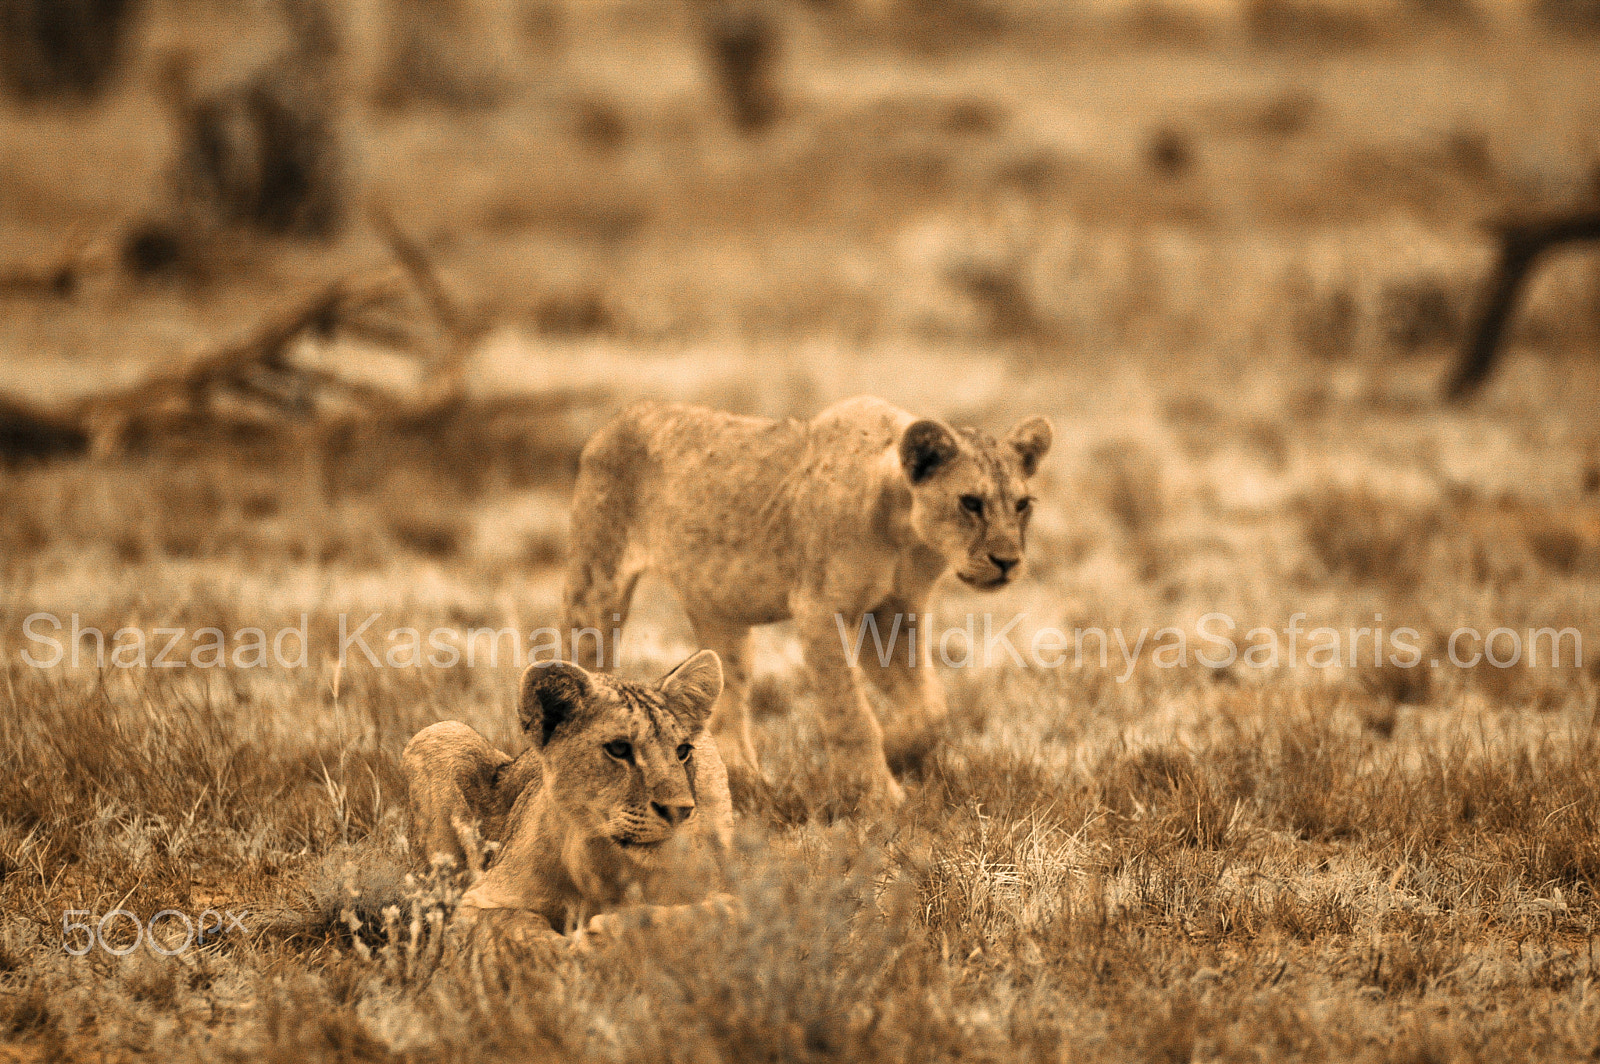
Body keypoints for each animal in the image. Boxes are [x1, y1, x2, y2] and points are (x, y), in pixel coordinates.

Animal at [401, 651, 733, 944]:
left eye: (683, 751)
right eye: (619, 748)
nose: (679, 810)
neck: (606, 864)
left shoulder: (731, 897)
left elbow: (690, 918)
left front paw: (602, 935)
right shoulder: (478, 900)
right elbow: (519, 929)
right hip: (442, 731)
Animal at [563, 395, 1053, 814]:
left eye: (1022, 504)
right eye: (970, 502)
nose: (1008, 562)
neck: (904, 530)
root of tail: (617, 419)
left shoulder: (893, 612)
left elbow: (931, 709)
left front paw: (898, 751)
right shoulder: (820, 608)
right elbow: (850, 713)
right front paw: (879, 796)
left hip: (721, 613)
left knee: (726, 699)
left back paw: (746, 786)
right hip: (597, 583)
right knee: (585, 661)